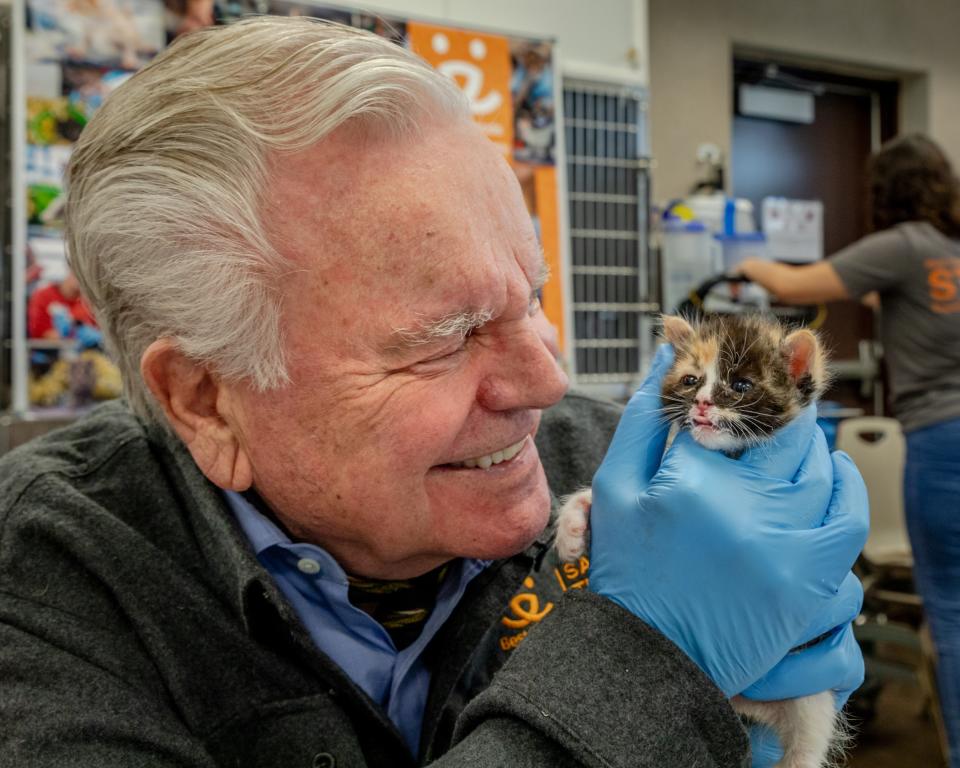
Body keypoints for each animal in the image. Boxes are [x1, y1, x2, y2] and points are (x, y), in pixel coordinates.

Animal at [556, 314, 840, 768]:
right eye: (692, 380)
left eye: (741, 384)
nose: (704, 403)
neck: (727, 458)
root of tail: (745, 701)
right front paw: (571, 528)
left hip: (813, 700)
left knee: (807, 745)